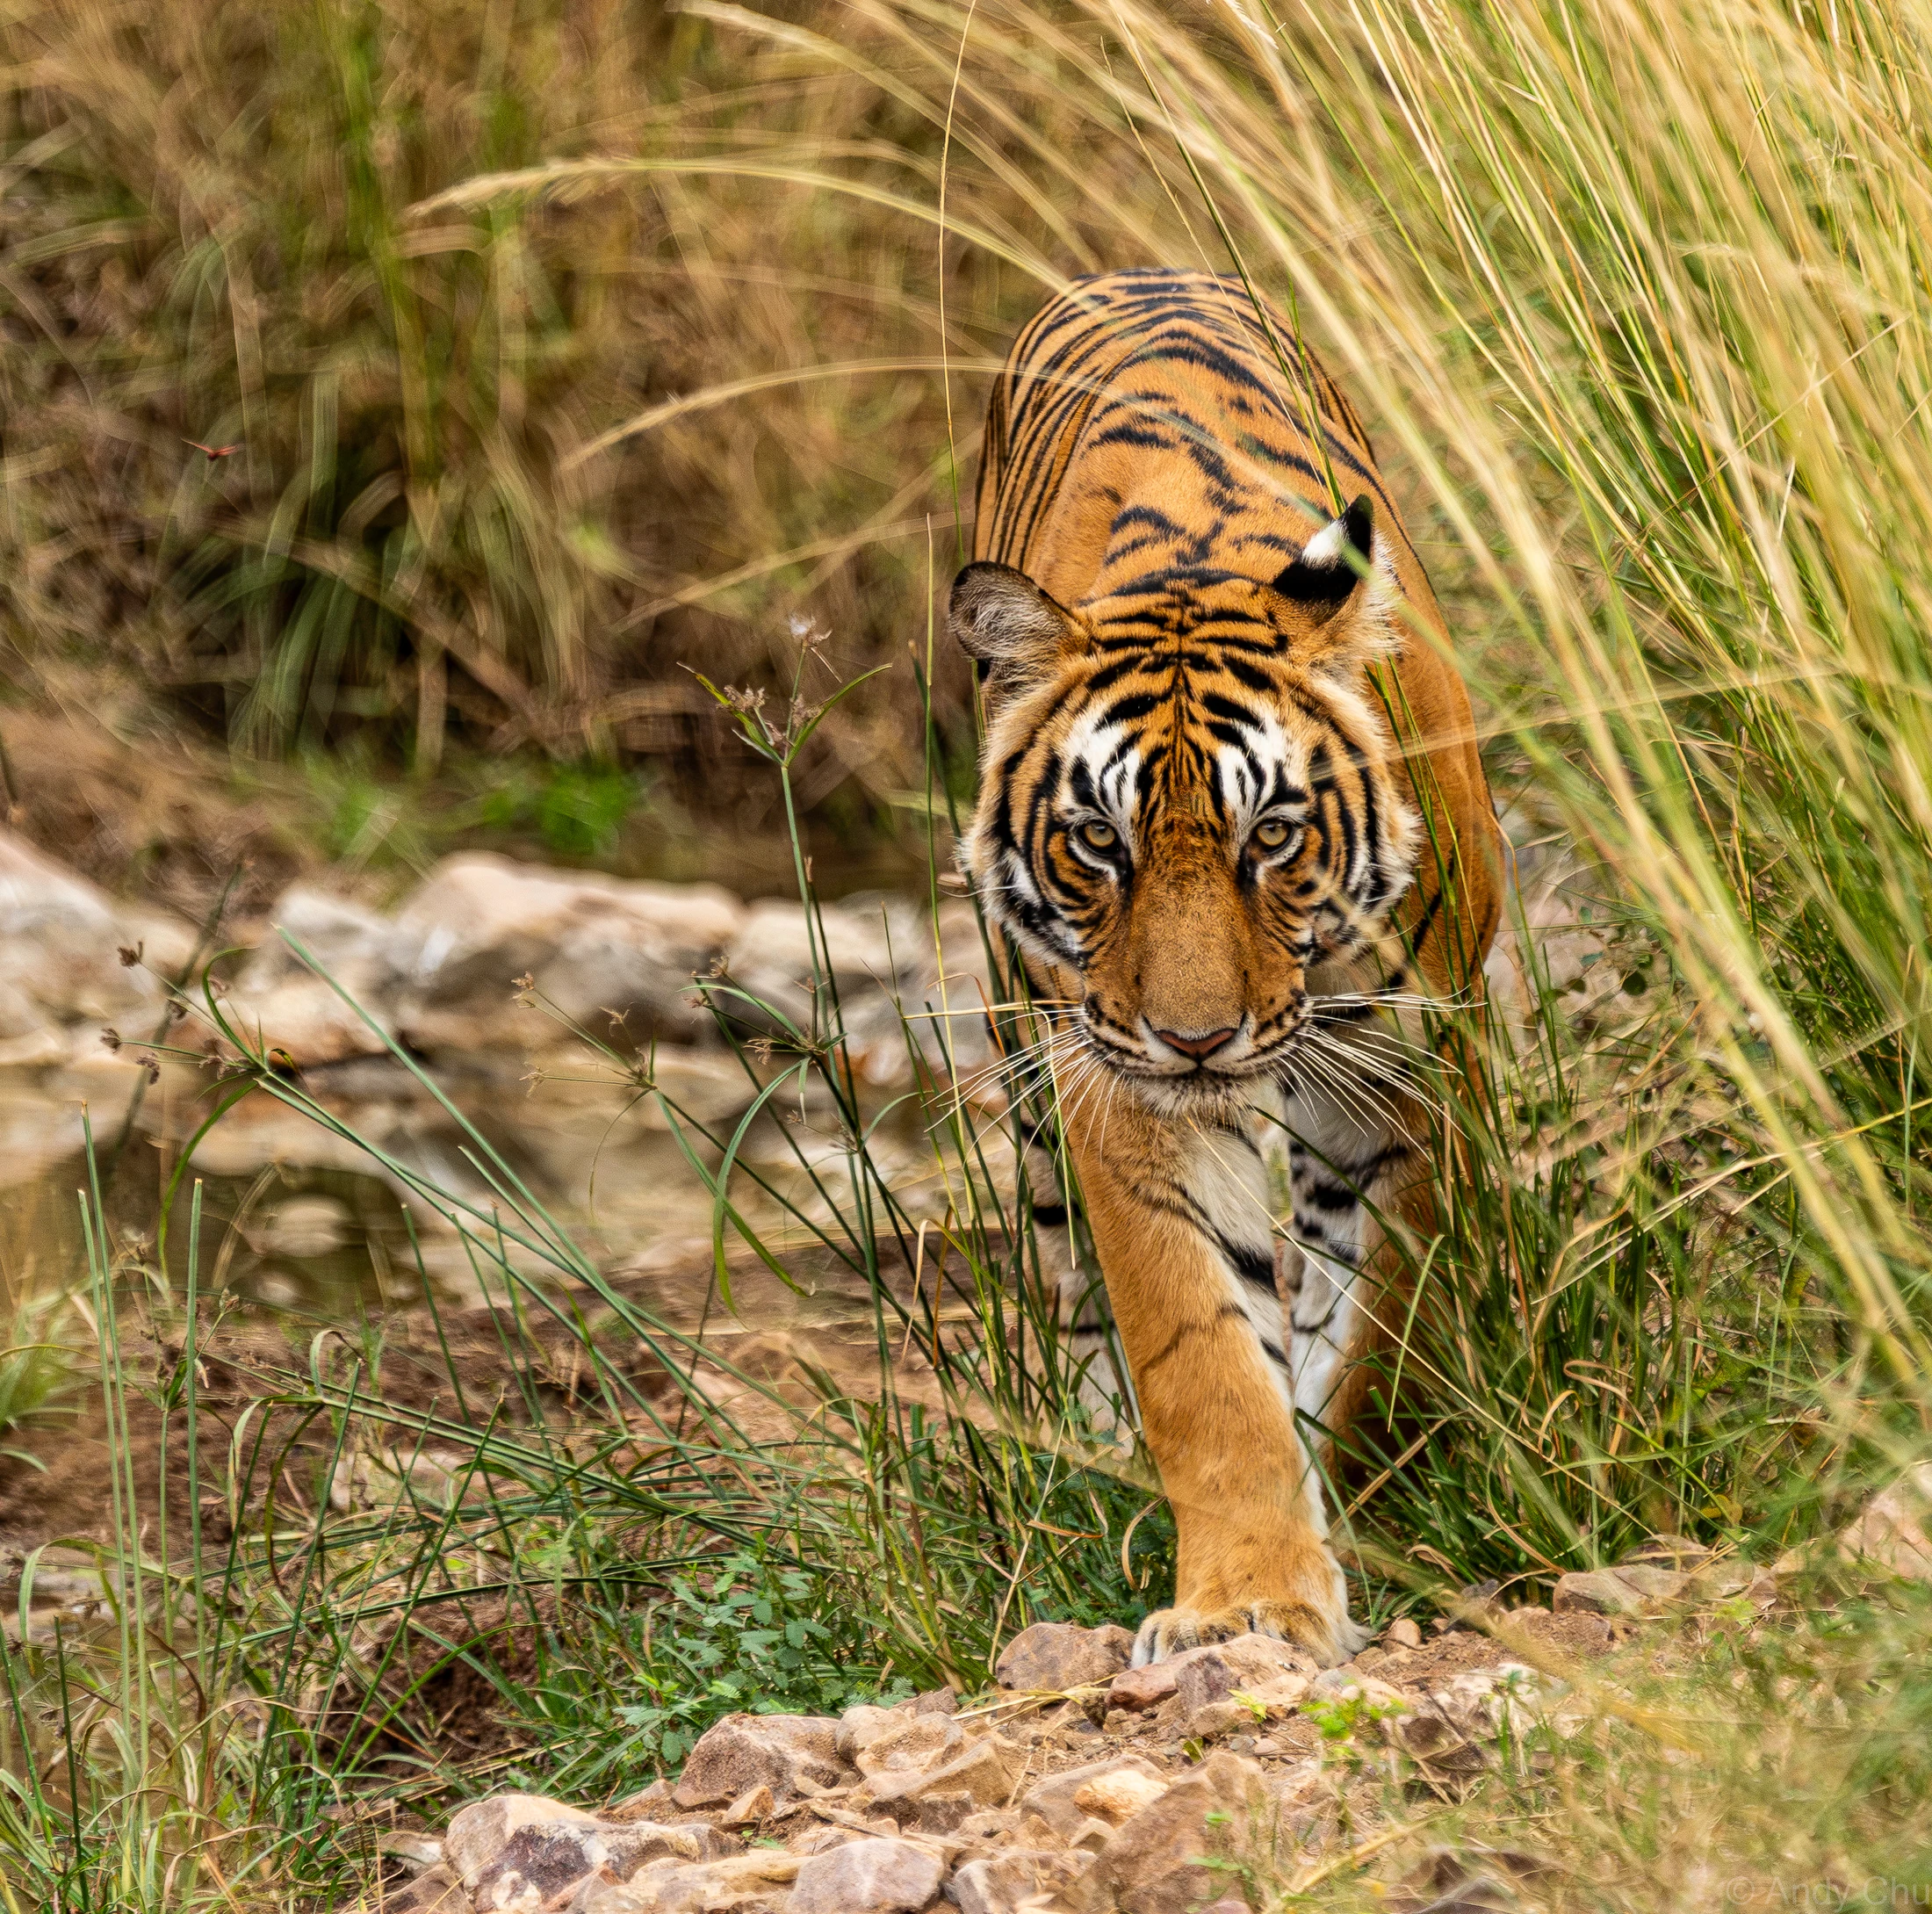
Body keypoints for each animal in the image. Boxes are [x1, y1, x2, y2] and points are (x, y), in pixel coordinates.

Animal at [952, 267, 1503, 1667]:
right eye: (1100, 840)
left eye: (1273, 835)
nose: (1196, 1038)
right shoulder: (1121, 1090)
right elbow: (1199, 1356)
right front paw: (1247, 1599)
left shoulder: (1405, 1065)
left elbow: (1375, 1320)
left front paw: (1339, 1498)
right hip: (1024, 1051)